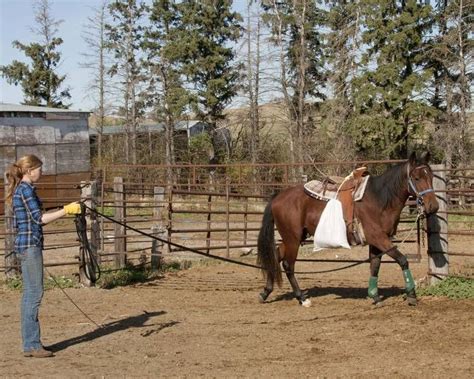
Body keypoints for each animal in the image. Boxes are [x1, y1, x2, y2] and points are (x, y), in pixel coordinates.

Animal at [258, 150, 438, 308]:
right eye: (416, 178)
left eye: (431, 176)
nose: (433, 206)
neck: (378, 199)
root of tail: (277, 198)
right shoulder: (379, 238)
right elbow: (402, 260)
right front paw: (411, 295)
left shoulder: (376, 242)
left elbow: (375, 266)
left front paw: (375, 296)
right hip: (293, 239)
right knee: (288, 264)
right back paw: (302, 298)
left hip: (295, 237)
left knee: (276, 256)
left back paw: (265, 292)